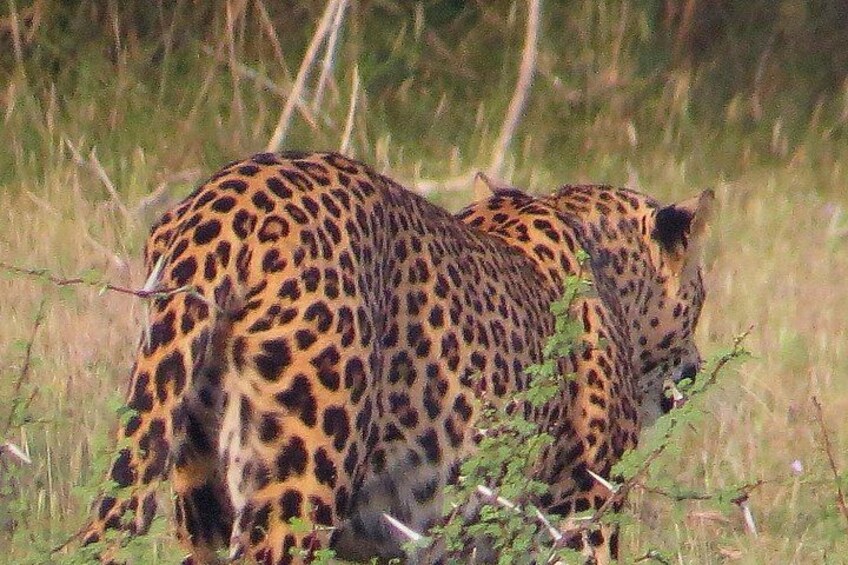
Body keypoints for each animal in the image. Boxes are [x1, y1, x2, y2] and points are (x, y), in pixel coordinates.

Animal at [77, 150, 713, 564]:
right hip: (299, 485)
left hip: (194, 482)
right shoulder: (582, 512)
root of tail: (221, 207)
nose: (696, 365)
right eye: (702, 294)